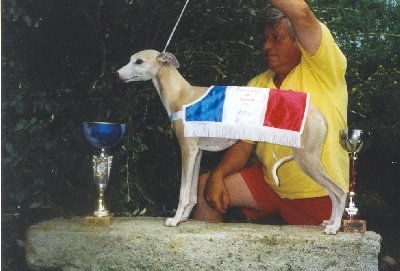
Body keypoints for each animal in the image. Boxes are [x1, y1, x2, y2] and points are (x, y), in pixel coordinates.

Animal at [115, 50, 346, 235]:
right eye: (130, 59)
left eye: (138, 61)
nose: (116, 74)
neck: (182, 94)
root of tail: (318, 114)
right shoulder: (197, 153)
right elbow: (192, 194)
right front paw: (185, 217)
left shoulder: (187, 150)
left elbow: (183, 192)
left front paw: (174, 219)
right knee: (333, 194)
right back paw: (329, 223)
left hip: (307, 160)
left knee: (339, 192)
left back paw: (334, 227)